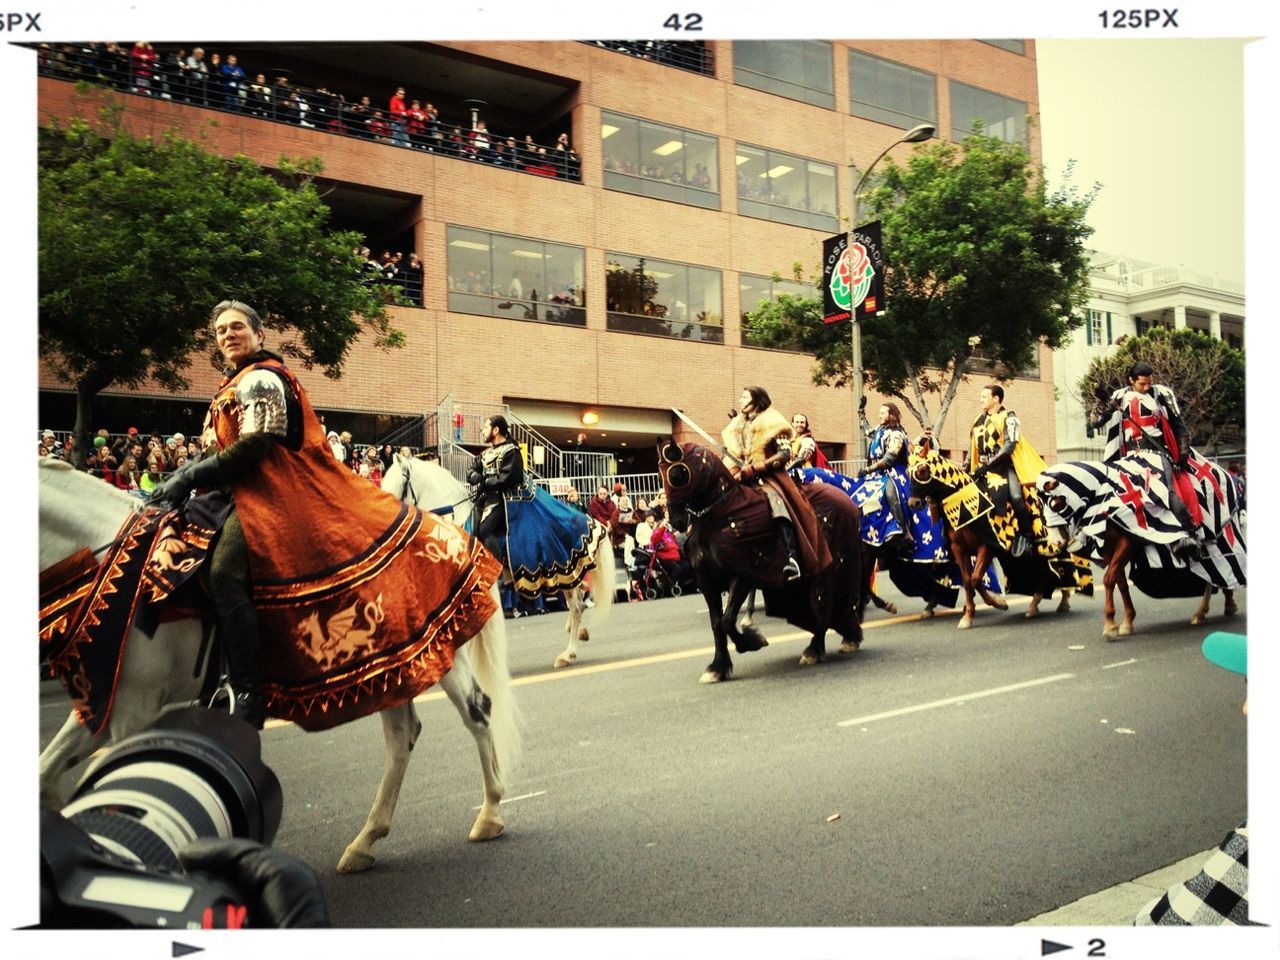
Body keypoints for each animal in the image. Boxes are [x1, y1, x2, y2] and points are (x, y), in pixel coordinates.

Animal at [40, 463, 519, 875]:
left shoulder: (133, 708)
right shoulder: (104, 705)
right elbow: (46, 772)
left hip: (440, 653)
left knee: (477, 712)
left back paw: (490, 814)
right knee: (403, 737)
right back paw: (365, 841)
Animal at [660, 442, 860, 686]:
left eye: (677, 474)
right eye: (660, 473)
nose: (676, 521)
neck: (719, 515)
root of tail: (848, 499)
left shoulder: (744, 574)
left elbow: (727, 620)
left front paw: (751, 642)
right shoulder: (707, 581)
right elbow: (716, 623)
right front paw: (717, 667)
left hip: (831, 568)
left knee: (824, 603)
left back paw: (815, 649)